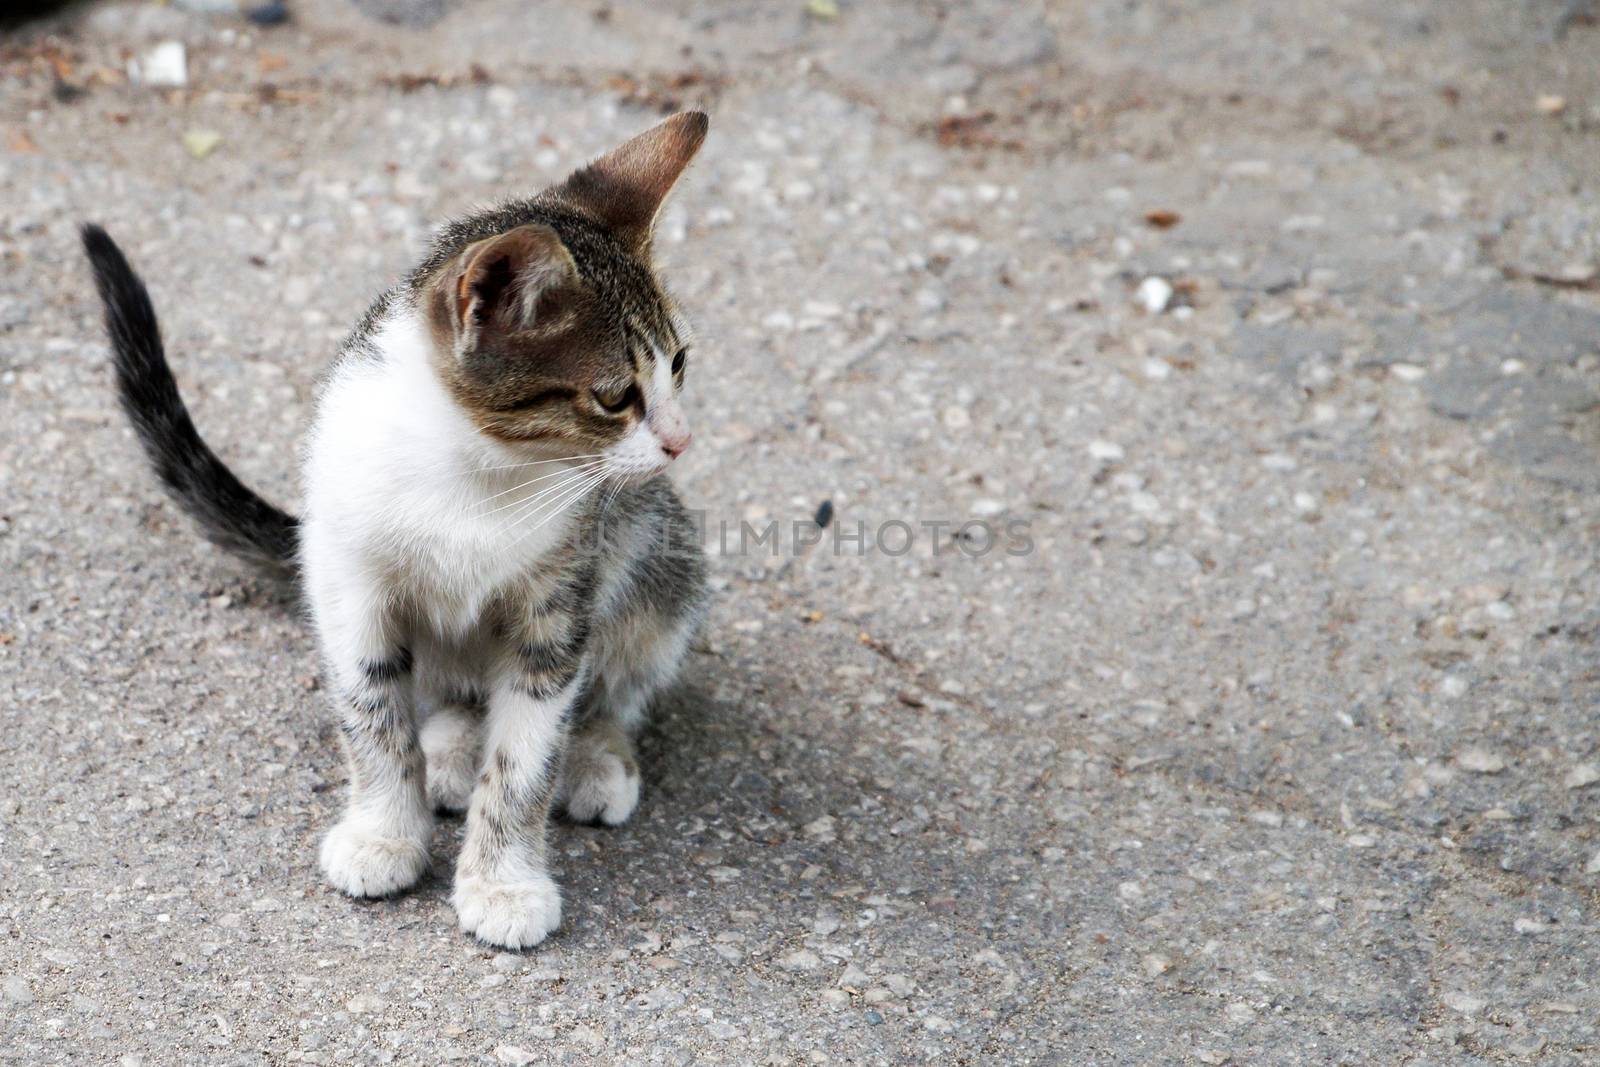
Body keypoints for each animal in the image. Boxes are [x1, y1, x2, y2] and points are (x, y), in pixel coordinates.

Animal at [82, 110, 713, 953]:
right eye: (614, 397)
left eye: (679, 363)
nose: (680, 441)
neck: (480, 474)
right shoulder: (347, 579)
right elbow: (372, 717)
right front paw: (385, 831)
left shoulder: (561, 595)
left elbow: (527, 751)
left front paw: (503, 880)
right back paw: (448, 747)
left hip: (657, 551)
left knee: (618, 678)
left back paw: (594, 752)